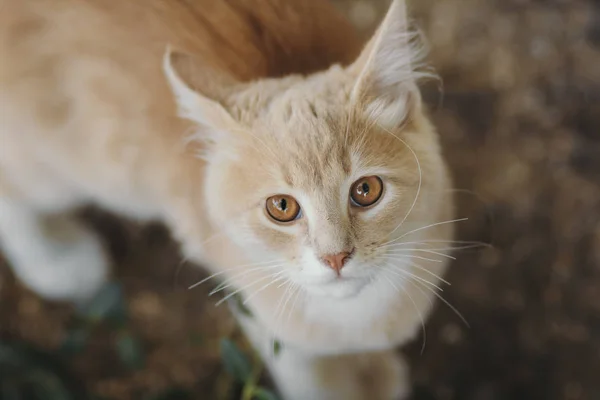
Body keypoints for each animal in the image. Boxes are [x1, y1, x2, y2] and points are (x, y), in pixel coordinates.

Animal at [0, 0, 454, 398]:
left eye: (366, 190)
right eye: (282, 207)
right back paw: (55, 259)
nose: (335, 257)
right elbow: (303, 365)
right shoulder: (250, 293)